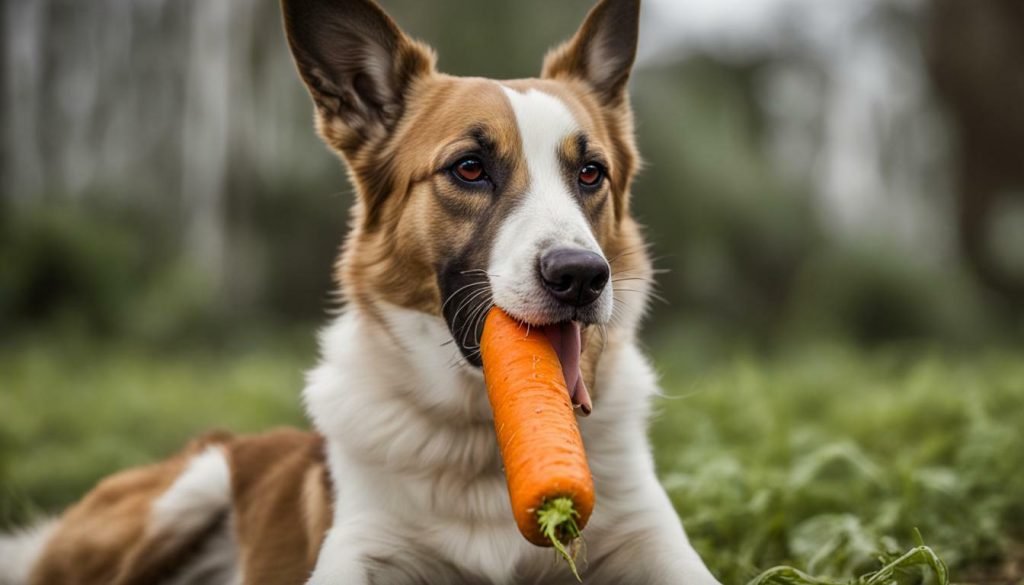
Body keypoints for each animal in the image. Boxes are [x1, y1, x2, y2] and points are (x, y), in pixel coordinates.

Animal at [0, 1, 720, 585]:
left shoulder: (655, 543)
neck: (487, 445)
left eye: (591, 173)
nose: (580, 275)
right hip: (191, 485)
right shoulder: (362, 547)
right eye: (469, 168)